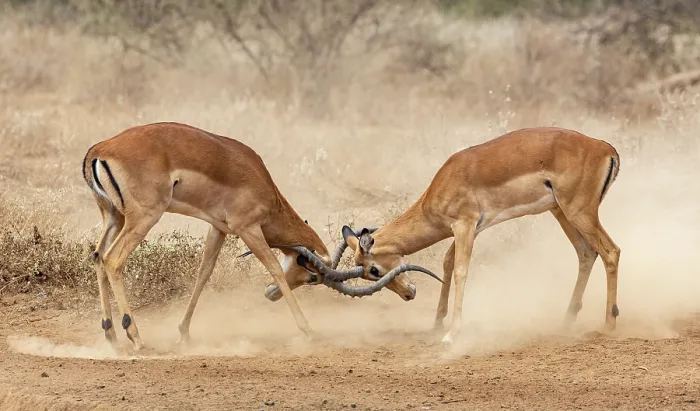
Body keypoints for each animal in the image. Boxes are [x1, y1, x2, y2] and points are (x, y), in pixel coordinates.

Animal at [81, 122, 440, 351]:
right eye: (313, 278)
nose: (410, 293)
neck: (263, 186)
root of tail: (99, 150)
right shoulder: (248, 229)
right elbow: (272, 268)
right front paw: (309, 330)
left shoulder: (219, 228)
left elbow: (204, 272)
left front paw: (184, 333)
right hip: (144, 217)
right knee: (113, 259)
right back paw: (136, 337)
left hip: (114, 216)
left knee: (98, 256)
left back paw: (110, 335)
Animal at [335, 127, 621, 343]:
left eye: (373, 270)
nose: (409, 294)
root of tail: (605, 148)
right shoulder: (471, 228)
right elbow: (448, 263)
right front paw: (437, 324)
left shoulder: (464, 225)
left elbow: (461, 271)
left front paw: (452, 334)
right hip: (561, 212)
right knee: (586, 253)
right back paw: (566, 321)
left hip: (579, 212)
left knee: (611, 252)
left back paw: (608, 324)